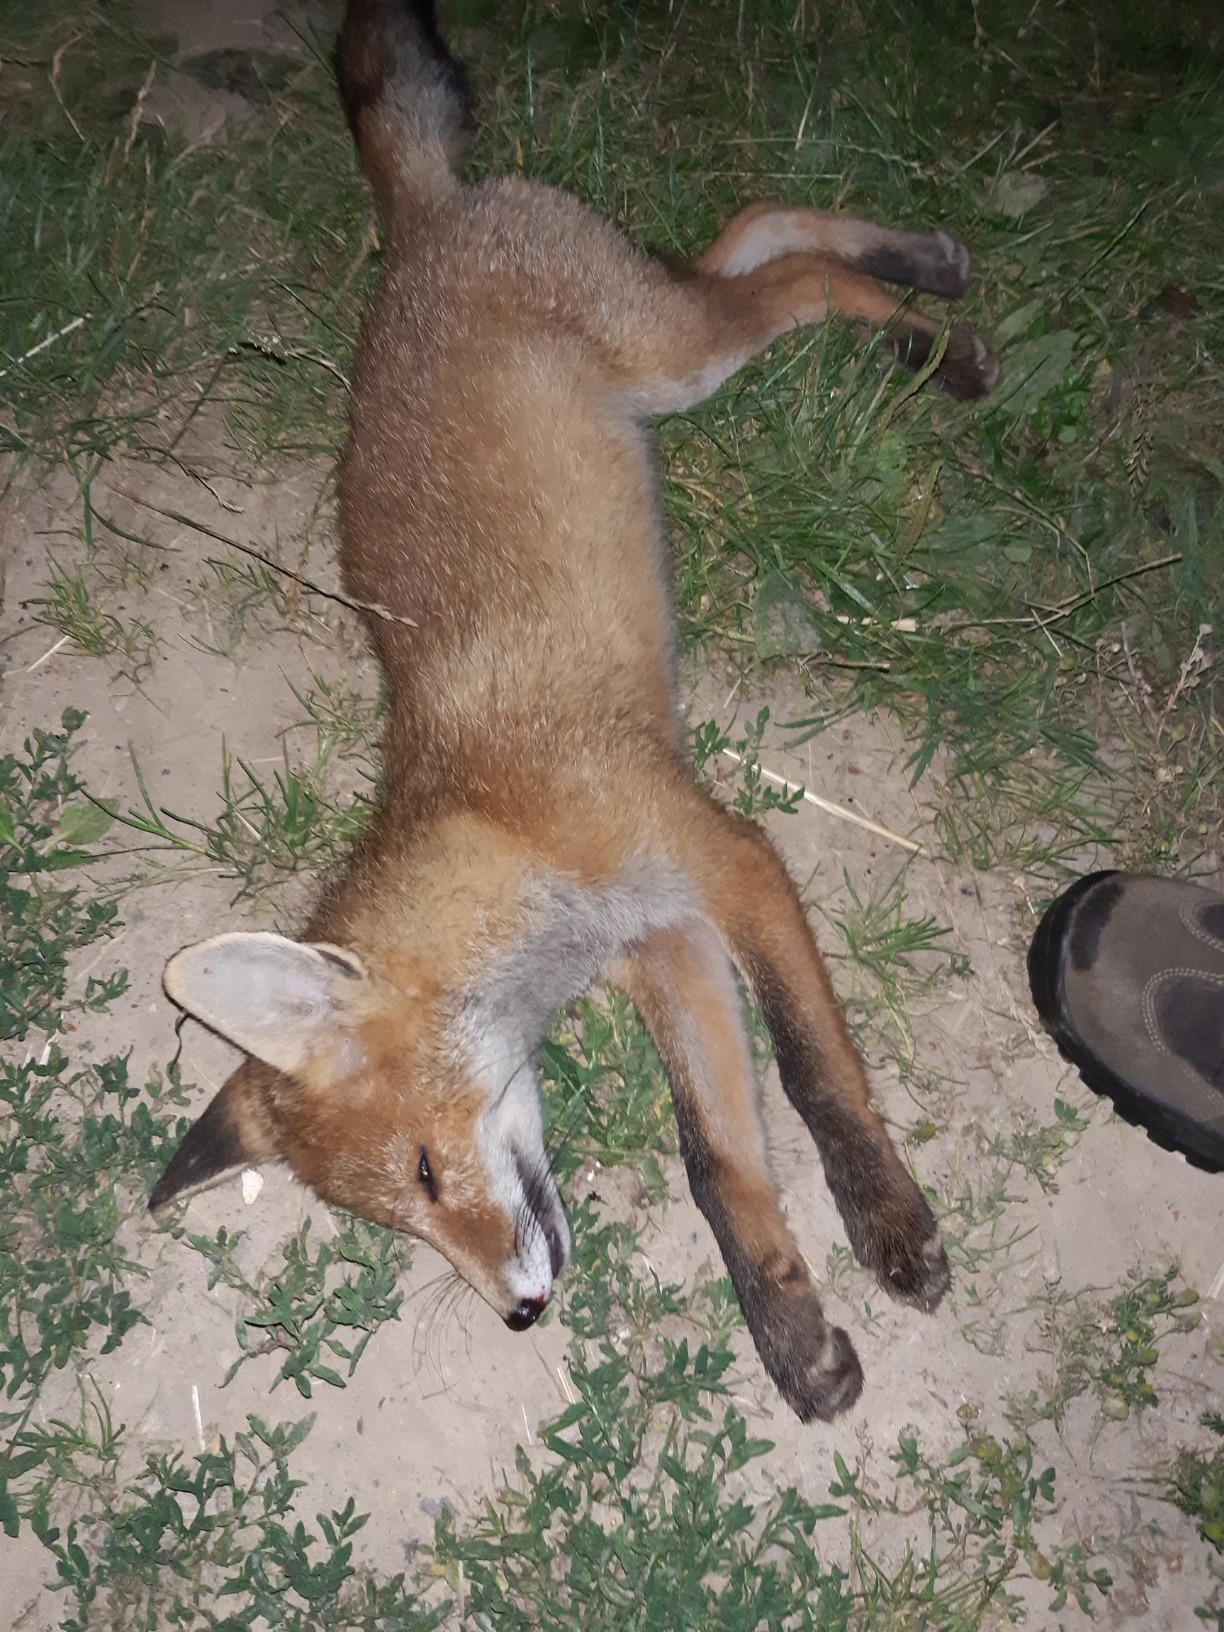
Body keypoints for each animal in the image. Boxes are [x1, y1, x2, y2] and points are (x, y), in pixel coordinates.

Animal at [151, 0, 998, 1422]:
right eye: (401, 1222)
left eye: (426, 1175)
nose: (518, 1310)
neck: (513, 831)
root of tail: (421, 226)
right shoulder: (674, 943)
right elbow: (719, 1163)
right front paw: (793, 1331)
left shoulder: (727, 859)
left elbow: (817, 1082)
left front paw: (887, 1223)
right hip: (669, 351)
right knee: (757, 230)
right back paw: (917, 264)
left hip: (676, 357)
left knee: (791, 280)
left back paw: (931, 335)